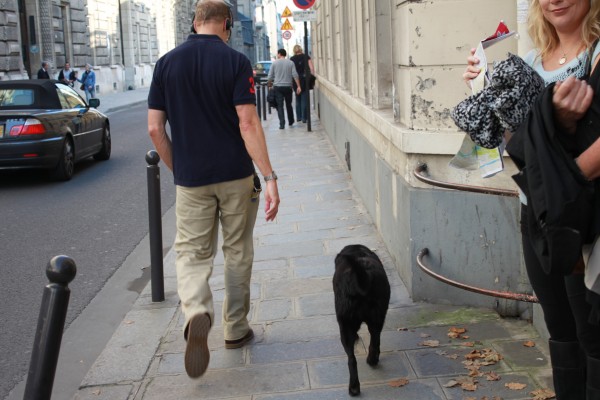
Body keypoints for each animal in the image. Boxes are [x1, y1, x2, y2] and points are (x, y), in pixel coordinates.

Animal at [330, 244, 392, 396]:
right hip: (377, 318)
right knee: (374, 342)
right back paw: (371, 362)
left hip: (345, 326)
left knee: (351, 359)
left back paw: (354, 386)